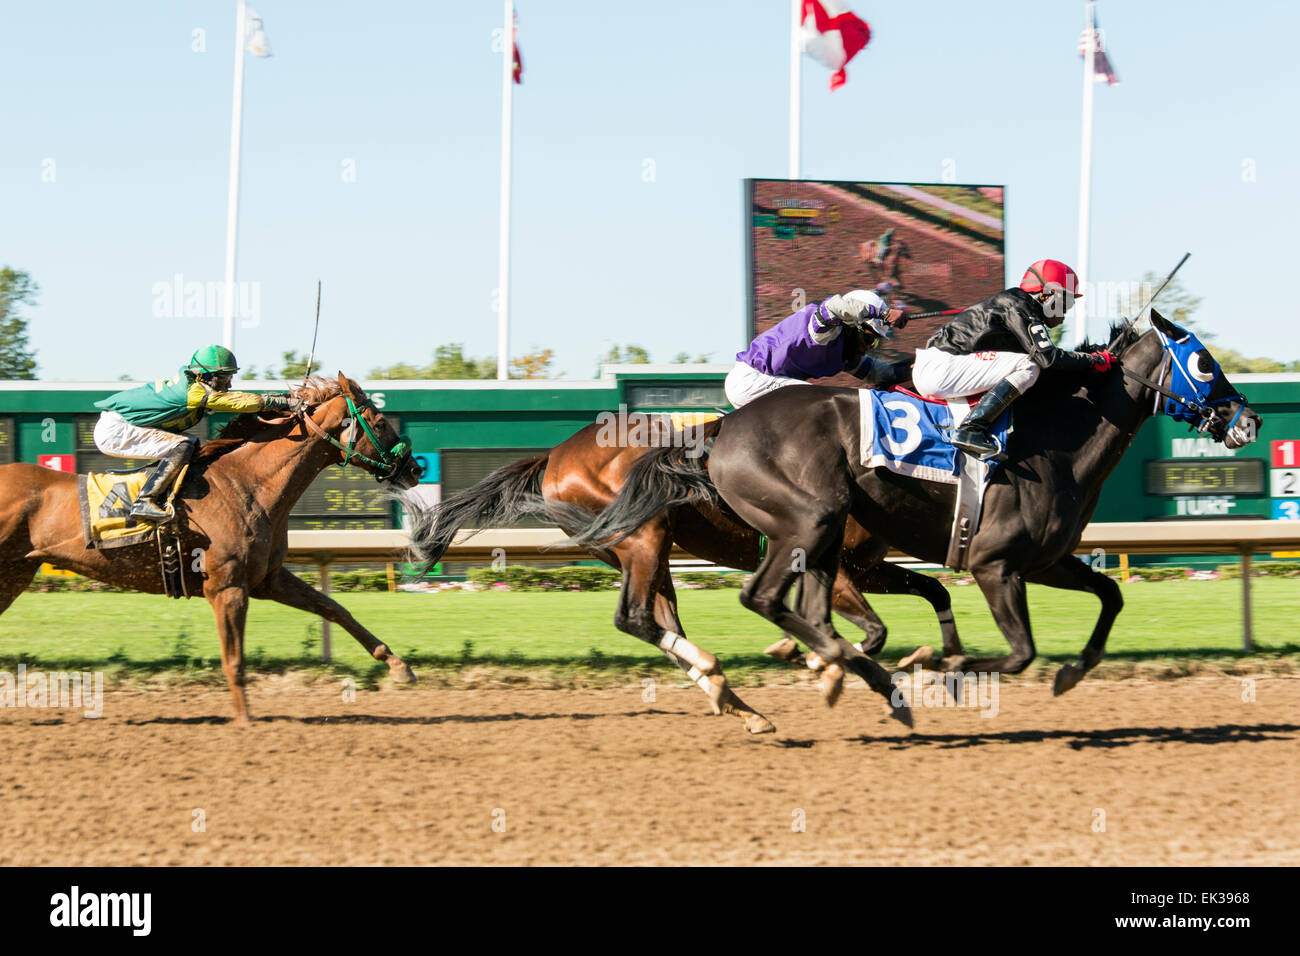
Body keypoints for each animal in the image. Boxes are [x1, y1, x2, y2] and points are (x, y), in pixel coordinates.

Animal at [0, 377, 421, 723]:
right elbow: (234, 659)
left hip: (15, 574)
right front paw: (245, 721)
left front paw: (398, 665)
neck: (248, 484)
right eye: (379, 422)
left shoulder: (268, 579)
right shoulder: (227, 586)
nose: (415, 468)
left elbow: (334, 608)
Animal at [405, 416, 967, 738]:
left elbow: (931, 588)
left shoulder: (865, 567)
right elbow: (872, 631)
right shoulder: (839, 565)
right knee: (634, 618)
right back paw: (719, 677)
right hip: (644, 536)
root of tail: (555, 456)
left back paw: (736, 703)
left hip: (644, 553)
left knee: (662, 624)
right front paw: (819, 661)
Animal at [574, 312, 1263, 717]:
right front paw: (937, 672)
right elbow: (1018, 651)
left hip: (819, 539)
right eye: (1203, 361)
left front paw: (1069, 672)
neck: (1054, 438)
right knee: (760, 598)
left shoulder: (1044, 560)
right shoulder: (993, 564)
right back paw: (859, 675)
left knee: (801, 611)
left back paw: (844, 671)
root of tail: (718, 432)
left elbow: (1110, 596)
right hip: (809, 521)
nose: (1249, 419)